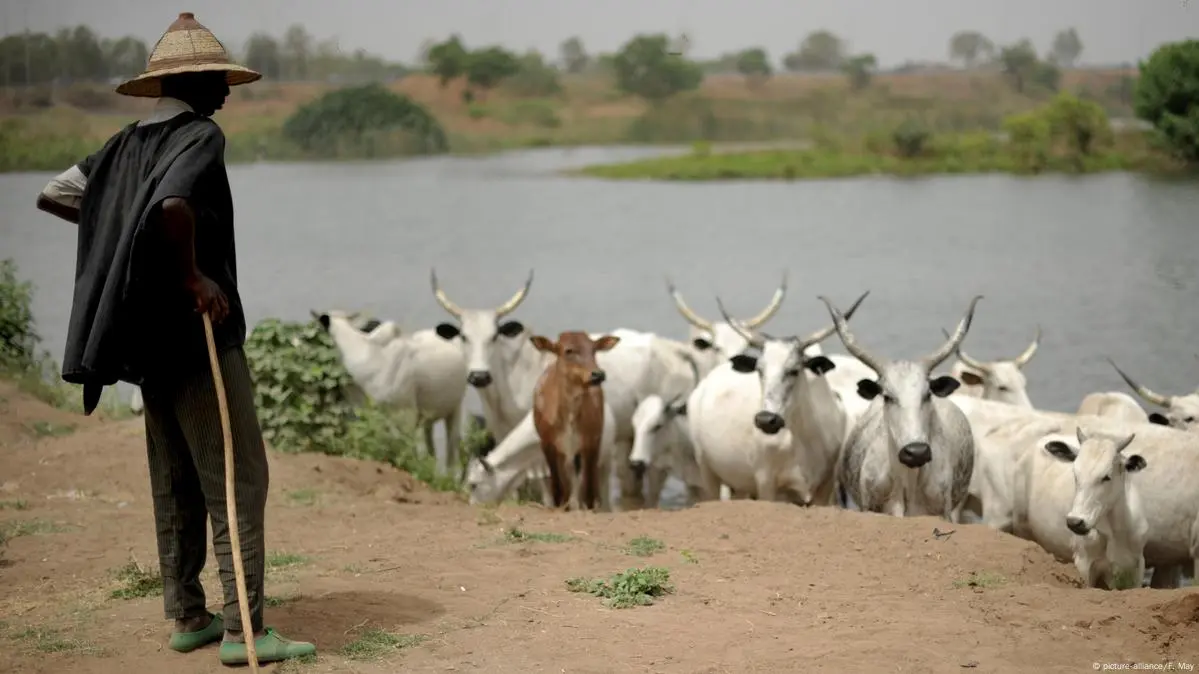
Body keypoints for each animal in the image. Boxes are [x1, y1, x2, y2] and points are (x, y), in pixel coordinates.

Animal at [532, 331, 623, 508]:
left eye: (594, 349)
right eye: (569, 350)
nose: (598, 374)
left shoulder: (592, 441)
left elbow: (589, 491)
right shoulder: (547, 443)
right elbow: (558, 489)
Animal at [1011, 426, 1151, 585]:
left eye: (1106, 476)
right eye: (1075, 474)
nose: (1075, 522)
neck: (1116, 531)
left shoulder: (1138, 566)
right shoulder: (1084, 564)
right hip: (1021, 527)